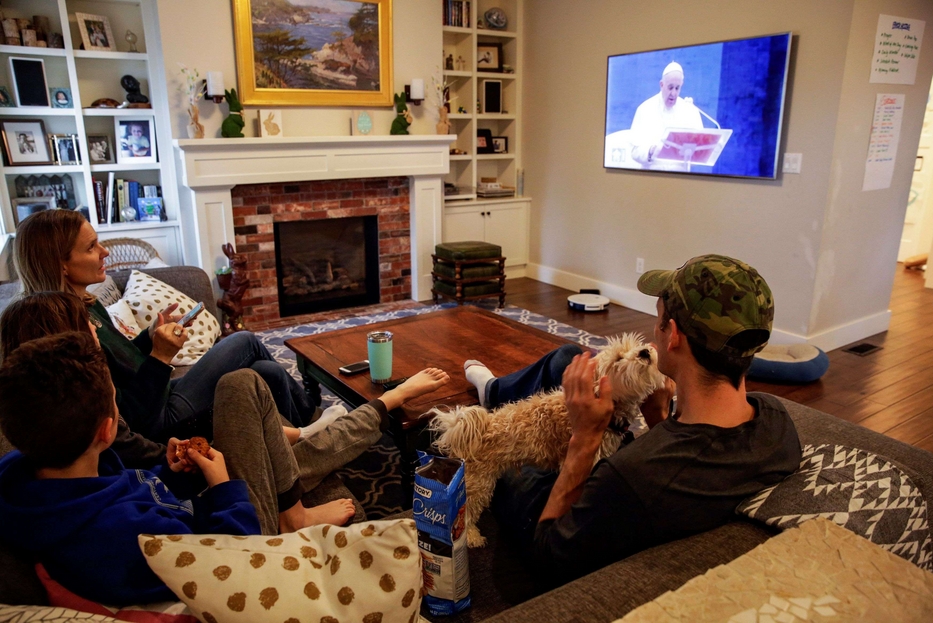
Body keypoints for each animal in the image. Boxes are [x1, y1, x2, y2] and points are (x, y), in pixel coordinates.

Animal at [430, 336, 664, 544]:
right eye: (618, 358)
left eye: (636, 346)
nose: (645, 352)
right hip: (479, 482)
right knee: (466, 512)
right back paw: (471, 537)